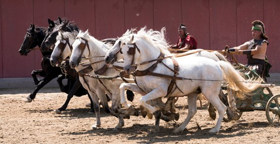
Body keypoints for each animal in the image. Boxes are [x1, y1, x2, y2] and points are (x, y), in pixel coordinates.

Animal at [105, 27, 260, 133]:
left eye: (128, 49)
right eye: (122, 50)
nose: (126, 69)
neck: (153, 65)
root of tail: (217, 64)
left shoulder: (160, 91)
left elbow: (144, 101)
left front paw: (157, 110)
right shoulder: (143, 89)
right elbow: (123, 86)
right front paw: (127, 105)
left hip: (209, 93)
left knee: (222, 107)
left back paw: (215, 129)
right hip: (193, 93)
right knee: (192, 111)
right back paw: (179, 128)